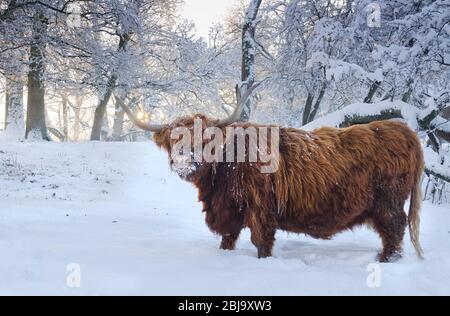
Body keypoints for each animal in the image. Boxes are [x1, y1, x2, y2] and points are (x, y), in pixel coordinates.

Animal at [118, 86, 422, 262]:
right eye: (173, 141)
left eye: (206, 139)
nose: (184, 162)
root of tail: (403, 130)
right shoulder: (230, 212)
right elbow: (227, 240)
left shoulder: (261, 211)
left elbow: (261, 242)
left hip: (388, 204)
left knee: (394, 232)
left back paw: (384, 260)